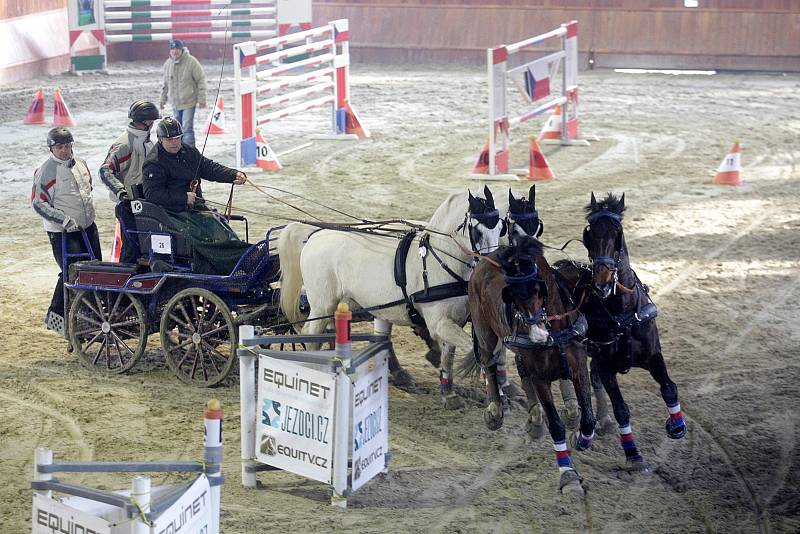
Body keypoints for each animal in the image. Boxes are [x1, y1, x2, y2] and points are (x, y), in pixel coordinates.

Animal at [280, 186, 506, 408]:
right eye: (477, 231)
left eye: (500, 228)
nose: (494, 268)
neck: (438, 261)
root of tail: (315, 234)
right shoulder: (439, 323)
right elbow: (480, 352)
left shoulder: (453, 321)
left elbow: (449, 355)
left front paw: (449, 394)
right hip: (322, 305)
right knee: (312, 334)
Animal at [468, 237, 592, 496]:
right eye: (511, 295)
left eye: (538, 289)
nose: (537, 335)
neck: (554, 331)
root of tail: (485, 259)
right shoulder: (540, 378)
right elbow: (555, 425)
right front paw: (568, 475)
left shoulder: (578, 369)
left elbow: (588, 416)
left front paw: (581, 439)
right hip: (484, 331)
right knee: (489, 364)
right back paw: (495, 410)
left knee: (518, 365)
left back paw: (534, 420)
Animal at [556, 195, 688, 472]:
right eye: (589, 232)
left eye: (617, 232)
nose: (603, 281)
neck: (622, 314)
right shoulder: (607, 367)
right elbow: (621, 409)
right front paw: (633, 455)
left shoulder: (653, 356)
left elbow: (669, 388)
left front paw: (676, 426)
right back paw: (580, 425)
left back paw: (599, 424)